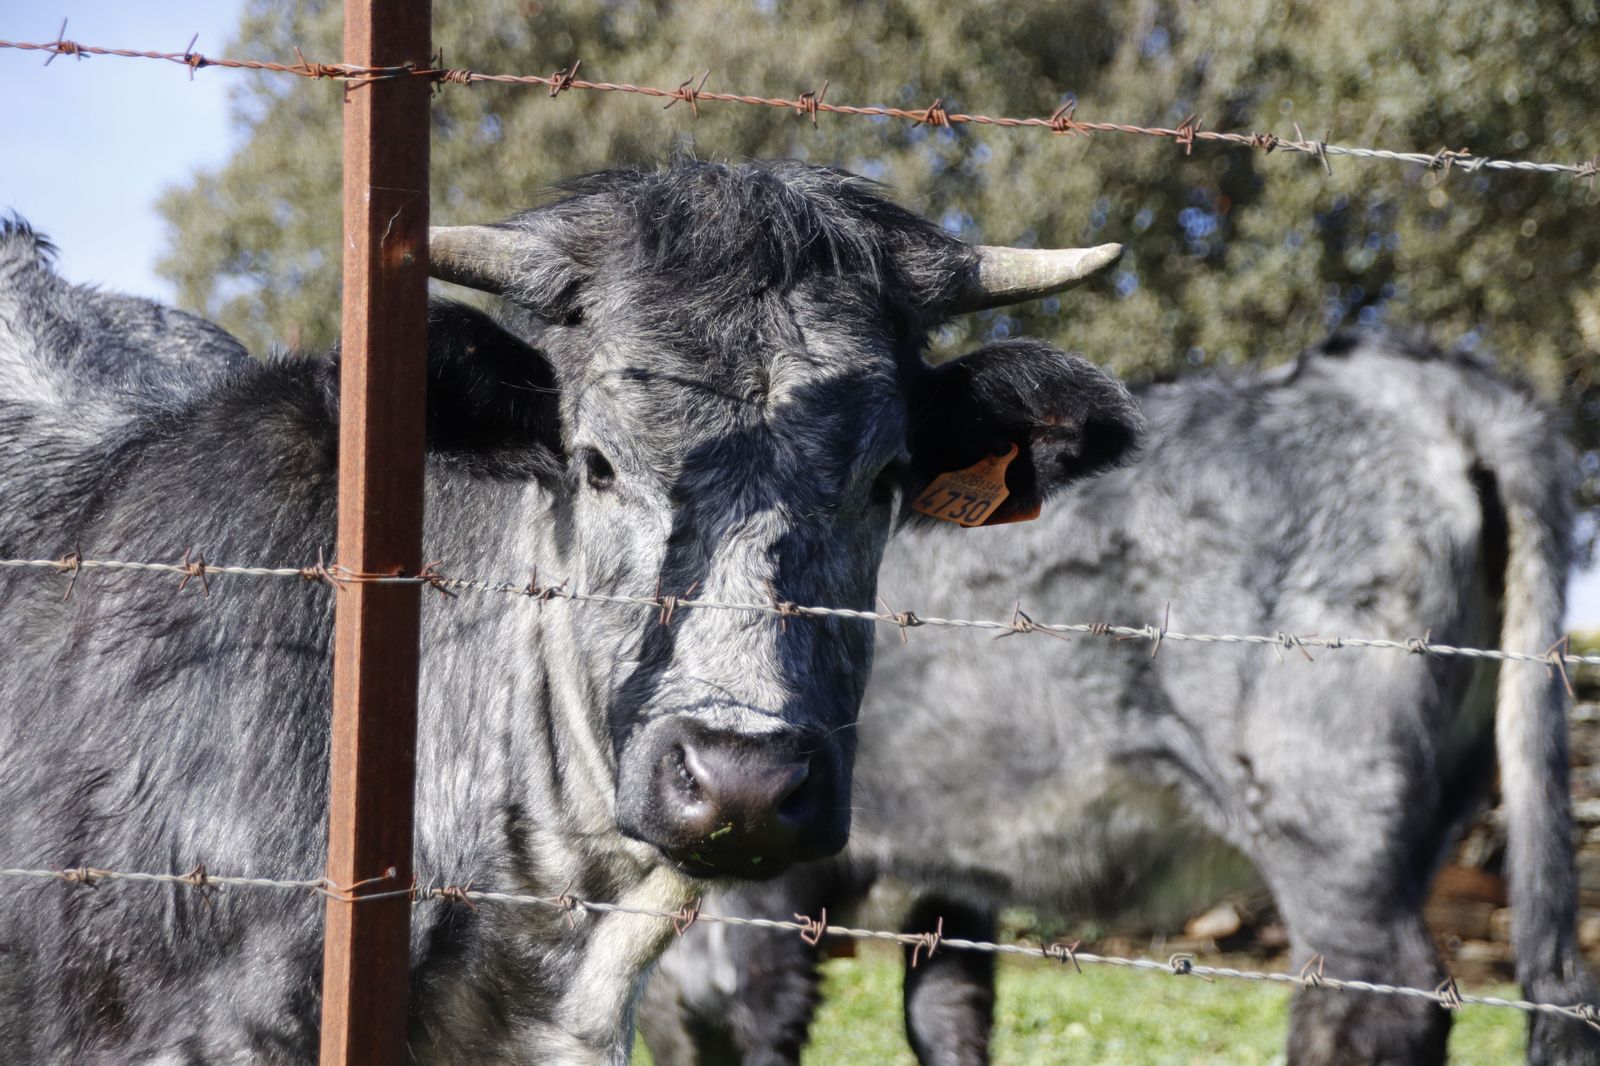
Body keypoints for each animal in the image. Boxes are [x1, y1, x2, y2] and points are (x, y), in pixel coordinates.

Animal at [640, 333, 1600, 1066]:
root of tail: (1417, 378)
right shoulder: (950, 871)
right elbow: (946, 1014)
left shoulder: (770, 858)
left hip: (1326, 813)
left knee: (1378, 1002)